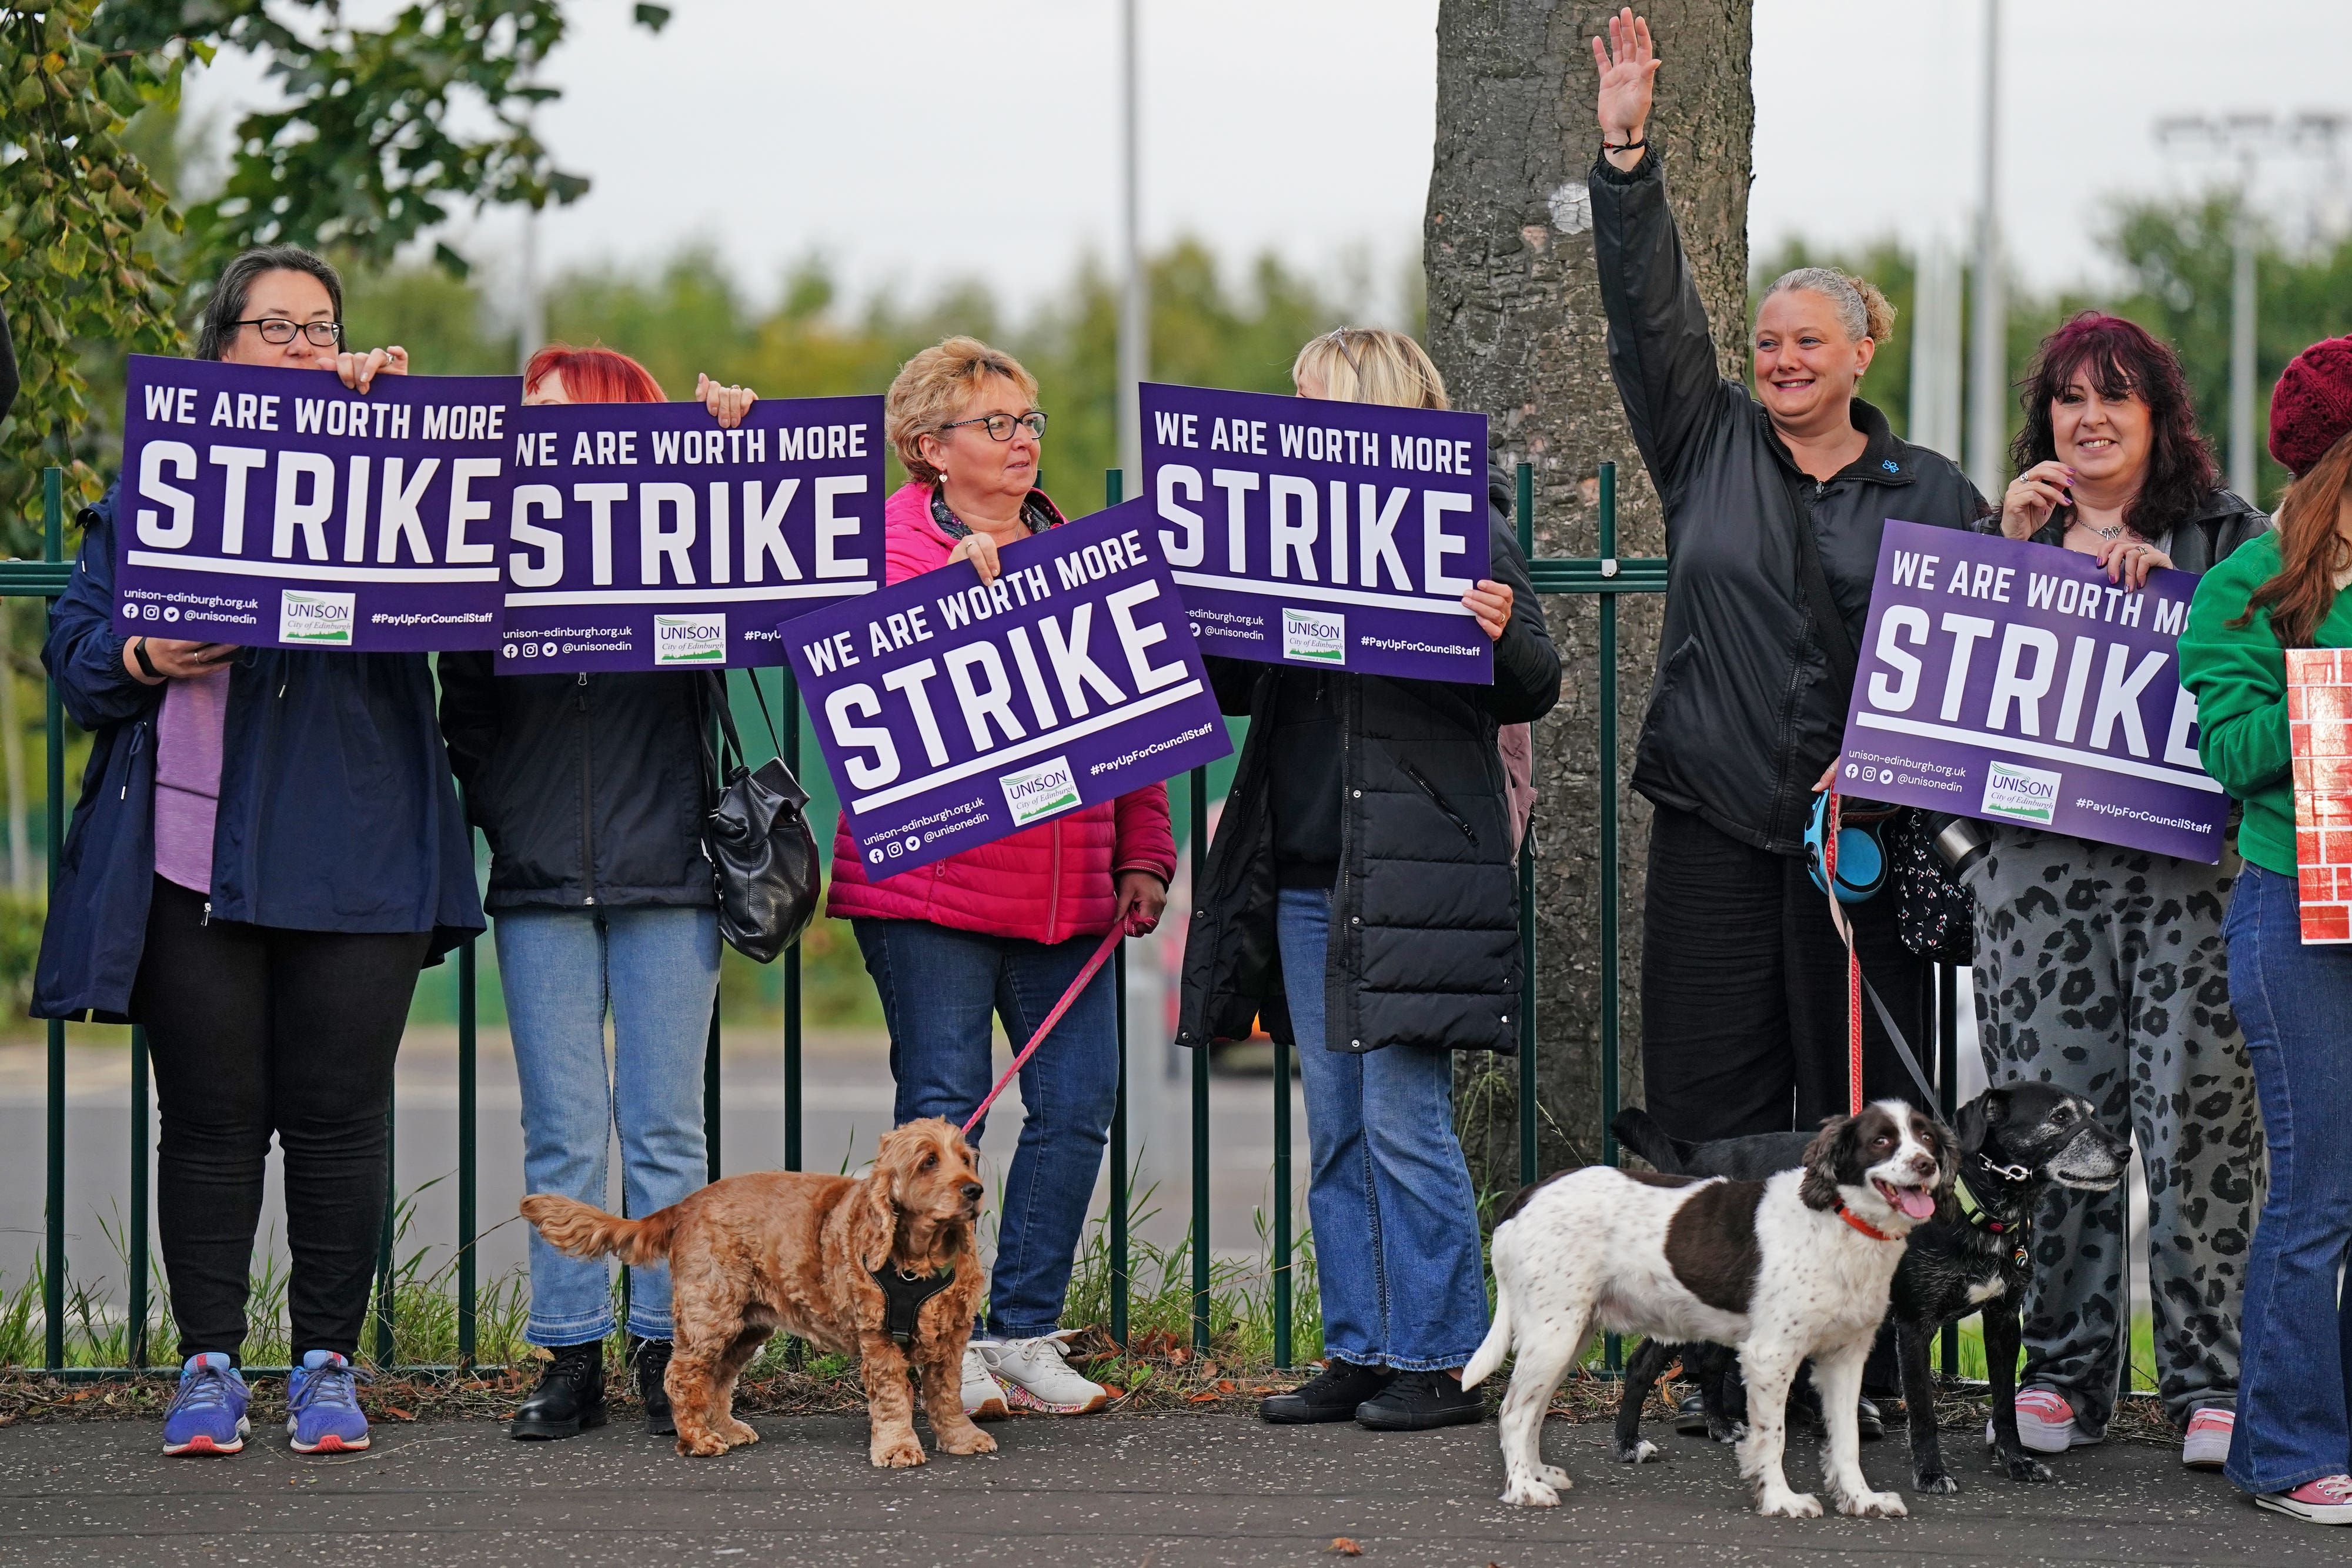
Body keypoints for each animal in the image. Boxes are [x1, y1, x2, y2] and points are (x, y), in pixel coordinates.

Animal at [1618, 1086, 2136, 1505]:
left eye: (2092, 1113)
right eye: (2060, 1117)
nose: (2125, 1151)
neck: (1974, 1204)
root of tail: (1696, 1154)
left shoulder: (2004, 1321)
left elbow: (2006, 1405)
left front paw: (2017, 1461)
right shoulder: (1915, 1325)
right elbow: (1924, 1412)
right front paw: (1931, 1473)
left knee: (1710, 1359)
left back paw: (1721, 1426)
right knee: (1641, 1361)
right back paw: (1627, 1443)